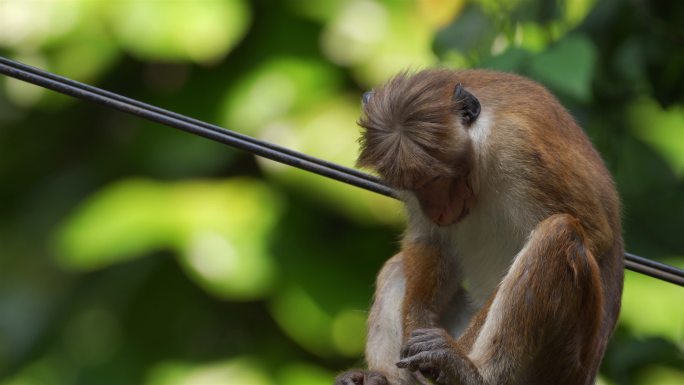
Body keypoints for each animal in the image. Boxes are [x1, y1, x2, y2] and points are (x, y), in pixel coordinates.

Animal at [336, 69, 624, 384]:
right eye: (412, 186)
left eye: (436, 179)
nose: (437, 210)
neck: (482, 144)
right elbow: (430, 239)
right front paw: (416, 321)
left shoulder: (518, 145)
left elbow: (596, 235)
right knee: (398, 266)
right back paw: (385, 378)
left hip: (563, 364)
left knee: (559, 233)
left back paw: (471, 373)